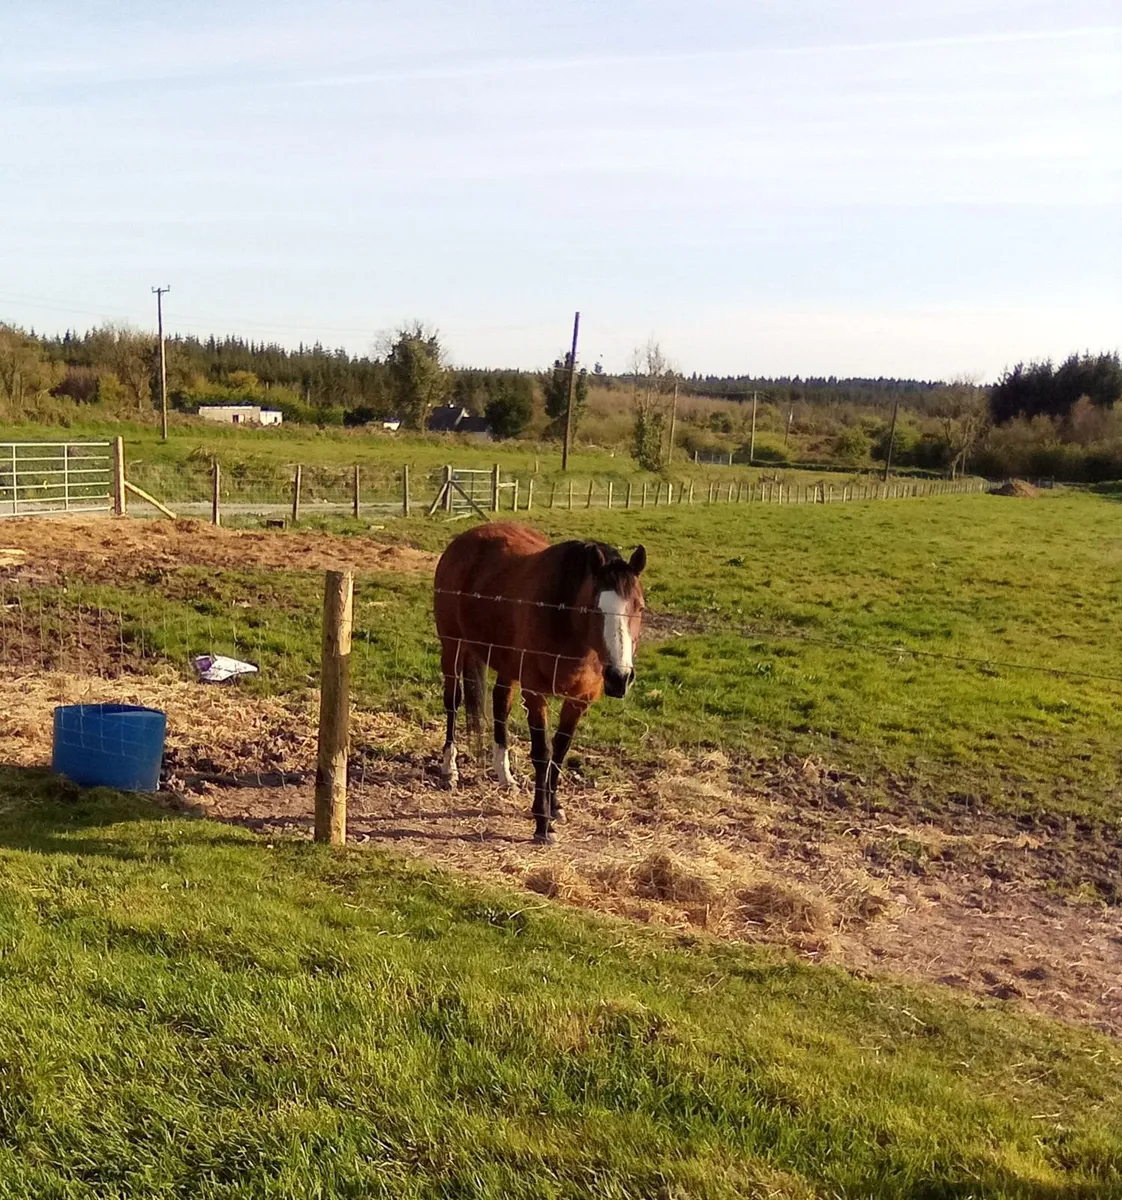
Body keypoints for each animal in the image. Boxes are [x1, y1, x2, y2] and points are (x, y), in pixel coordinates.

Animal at [433, 521, 647, 845]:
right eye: (592, 609)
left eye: (640, 608)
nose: (619, 677)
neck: (564, 619)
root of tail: (466, 538)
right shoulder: (535, 693)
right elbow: (542, 754)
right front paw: (542, 822)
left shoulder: (580, 699)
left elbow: (560, 752)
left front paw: (555, 807)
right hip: (453, 647)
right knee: (452, 703)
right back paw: (450, 770)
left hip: (505, 662)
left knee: (500, 703)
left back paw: (505, 775)